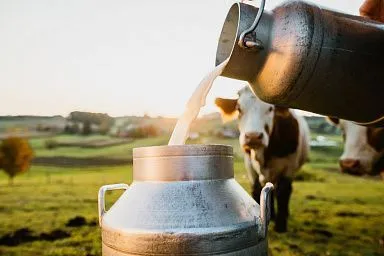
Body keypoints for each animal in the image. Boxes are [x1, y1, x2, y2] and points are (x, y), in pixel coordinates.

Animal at [214, 87, 310, 233]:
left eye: (270, 109)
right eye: (239, 108)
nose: (253, 136)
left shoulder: (290, 166)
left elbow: (283, 191)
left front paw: (281, 225)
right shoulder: (249, 164)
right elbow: (256, 189)